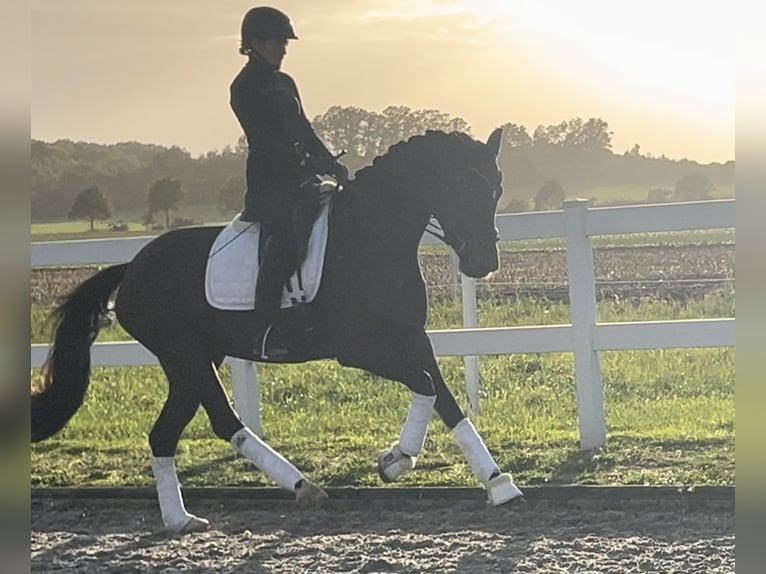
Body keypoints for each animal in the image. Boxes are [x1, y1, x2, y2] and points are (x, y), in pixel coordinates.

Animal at [36, 128, 528, 532]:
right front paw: (397, 460)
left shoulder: (412, 338)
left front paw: (497, 483)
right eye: (457, 185)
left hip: (193, 361)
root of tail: (132, 267)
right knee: (220, 420)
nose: (482, 263)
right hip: (184, 354)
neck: (369, 237)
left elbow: (445, 399)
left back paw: (182, 519)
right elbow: (425, 385)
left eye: (496, 188)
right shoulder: (357, 348)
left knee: (167, 433)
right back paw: (298, 487)